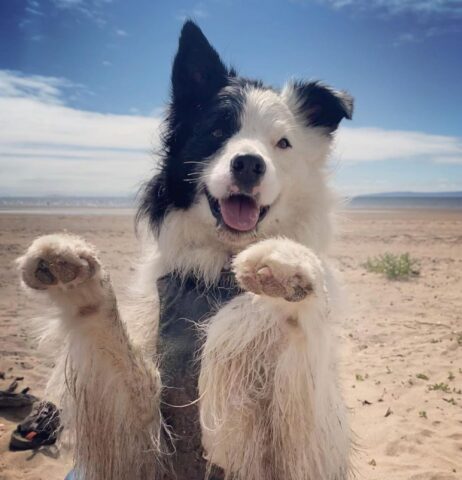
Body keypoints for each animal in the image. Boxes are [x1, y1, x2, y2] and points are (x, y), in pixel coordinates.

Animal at [16, 20, 352, 478]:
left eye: (282, 143)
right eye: (217, 132)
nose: (249, 164)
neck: (216, 269)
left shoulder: (302, 448)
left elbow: (279, 325)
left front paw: (286, 267)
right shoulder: (143, 440)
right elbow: (105, 331)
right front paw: (75, 274)